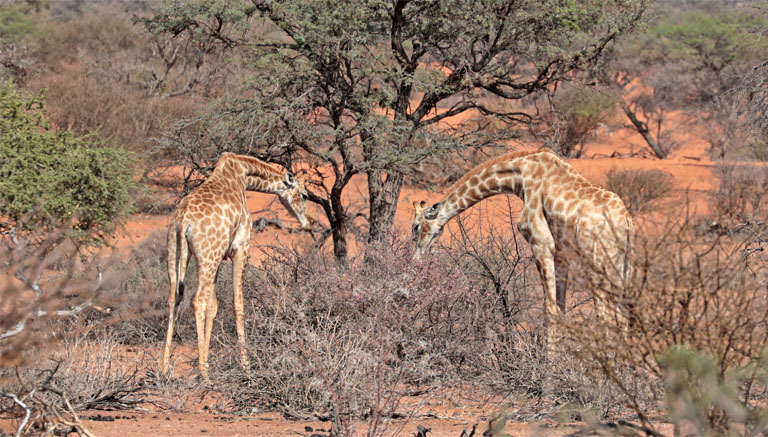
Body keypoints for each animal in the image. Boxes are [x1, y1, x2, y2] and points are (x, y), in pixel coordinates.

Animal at [162, 152, 312, 380]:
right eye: (304, 195)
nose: (307, 223)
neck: (243, 174)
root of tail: (183, 220)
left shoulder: (220, 255)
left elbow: (214, 306)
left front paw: (210, 363)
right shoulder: (240, 249)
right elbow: (238, 304)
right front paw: (245, 366)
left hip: (179, 253)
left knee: (174, 299)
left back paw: (163, 370)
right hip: (207, 256)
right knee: (198, 300)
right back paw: (204, 376)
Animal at [412, 150, 632, 348]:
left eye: (415, 227)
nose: (415, 260)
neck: (520, 175)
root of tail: (625, 221)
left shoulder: (541, 244)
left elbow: (549, 310)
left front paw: (550, 365)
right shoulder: (562, 253)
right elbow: (560, 308)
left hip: (597, 264)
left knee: (605, 314)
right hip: (623, 266)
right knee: (623, 314)